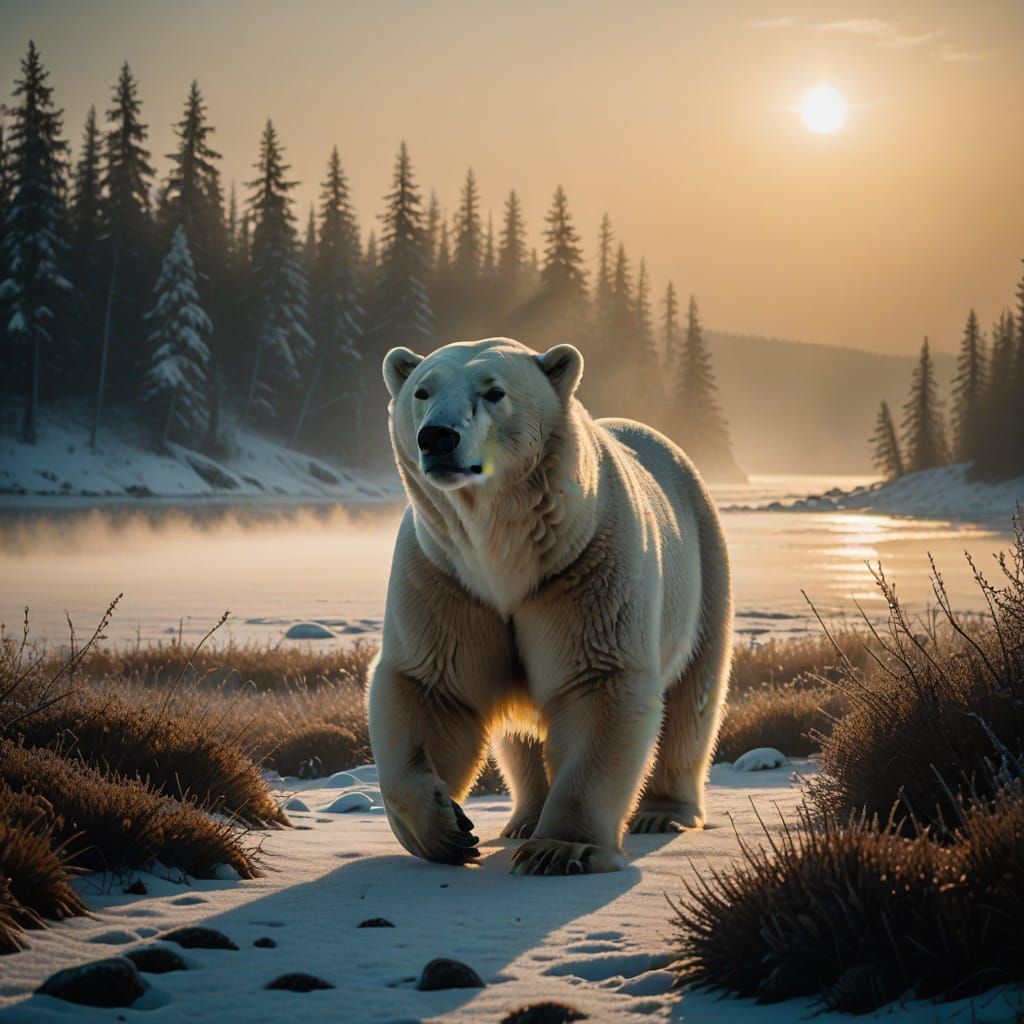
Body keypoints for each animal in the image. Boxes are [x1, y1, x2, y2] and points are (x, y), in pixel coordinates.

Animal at [368, 337, 732, 875]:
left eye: (494, 391)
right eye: (422, 390)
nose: (437, 438)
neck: (505, 553)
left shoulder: (585, 568)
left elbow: (596, 684)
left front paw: (560, 849)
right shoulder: (447, 577)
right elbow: (431, 687)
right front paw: (447, 831)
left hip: (704, 569)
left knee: (694, 697)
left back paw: (663, 813)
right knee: (519, 735)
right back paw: (522, 818)